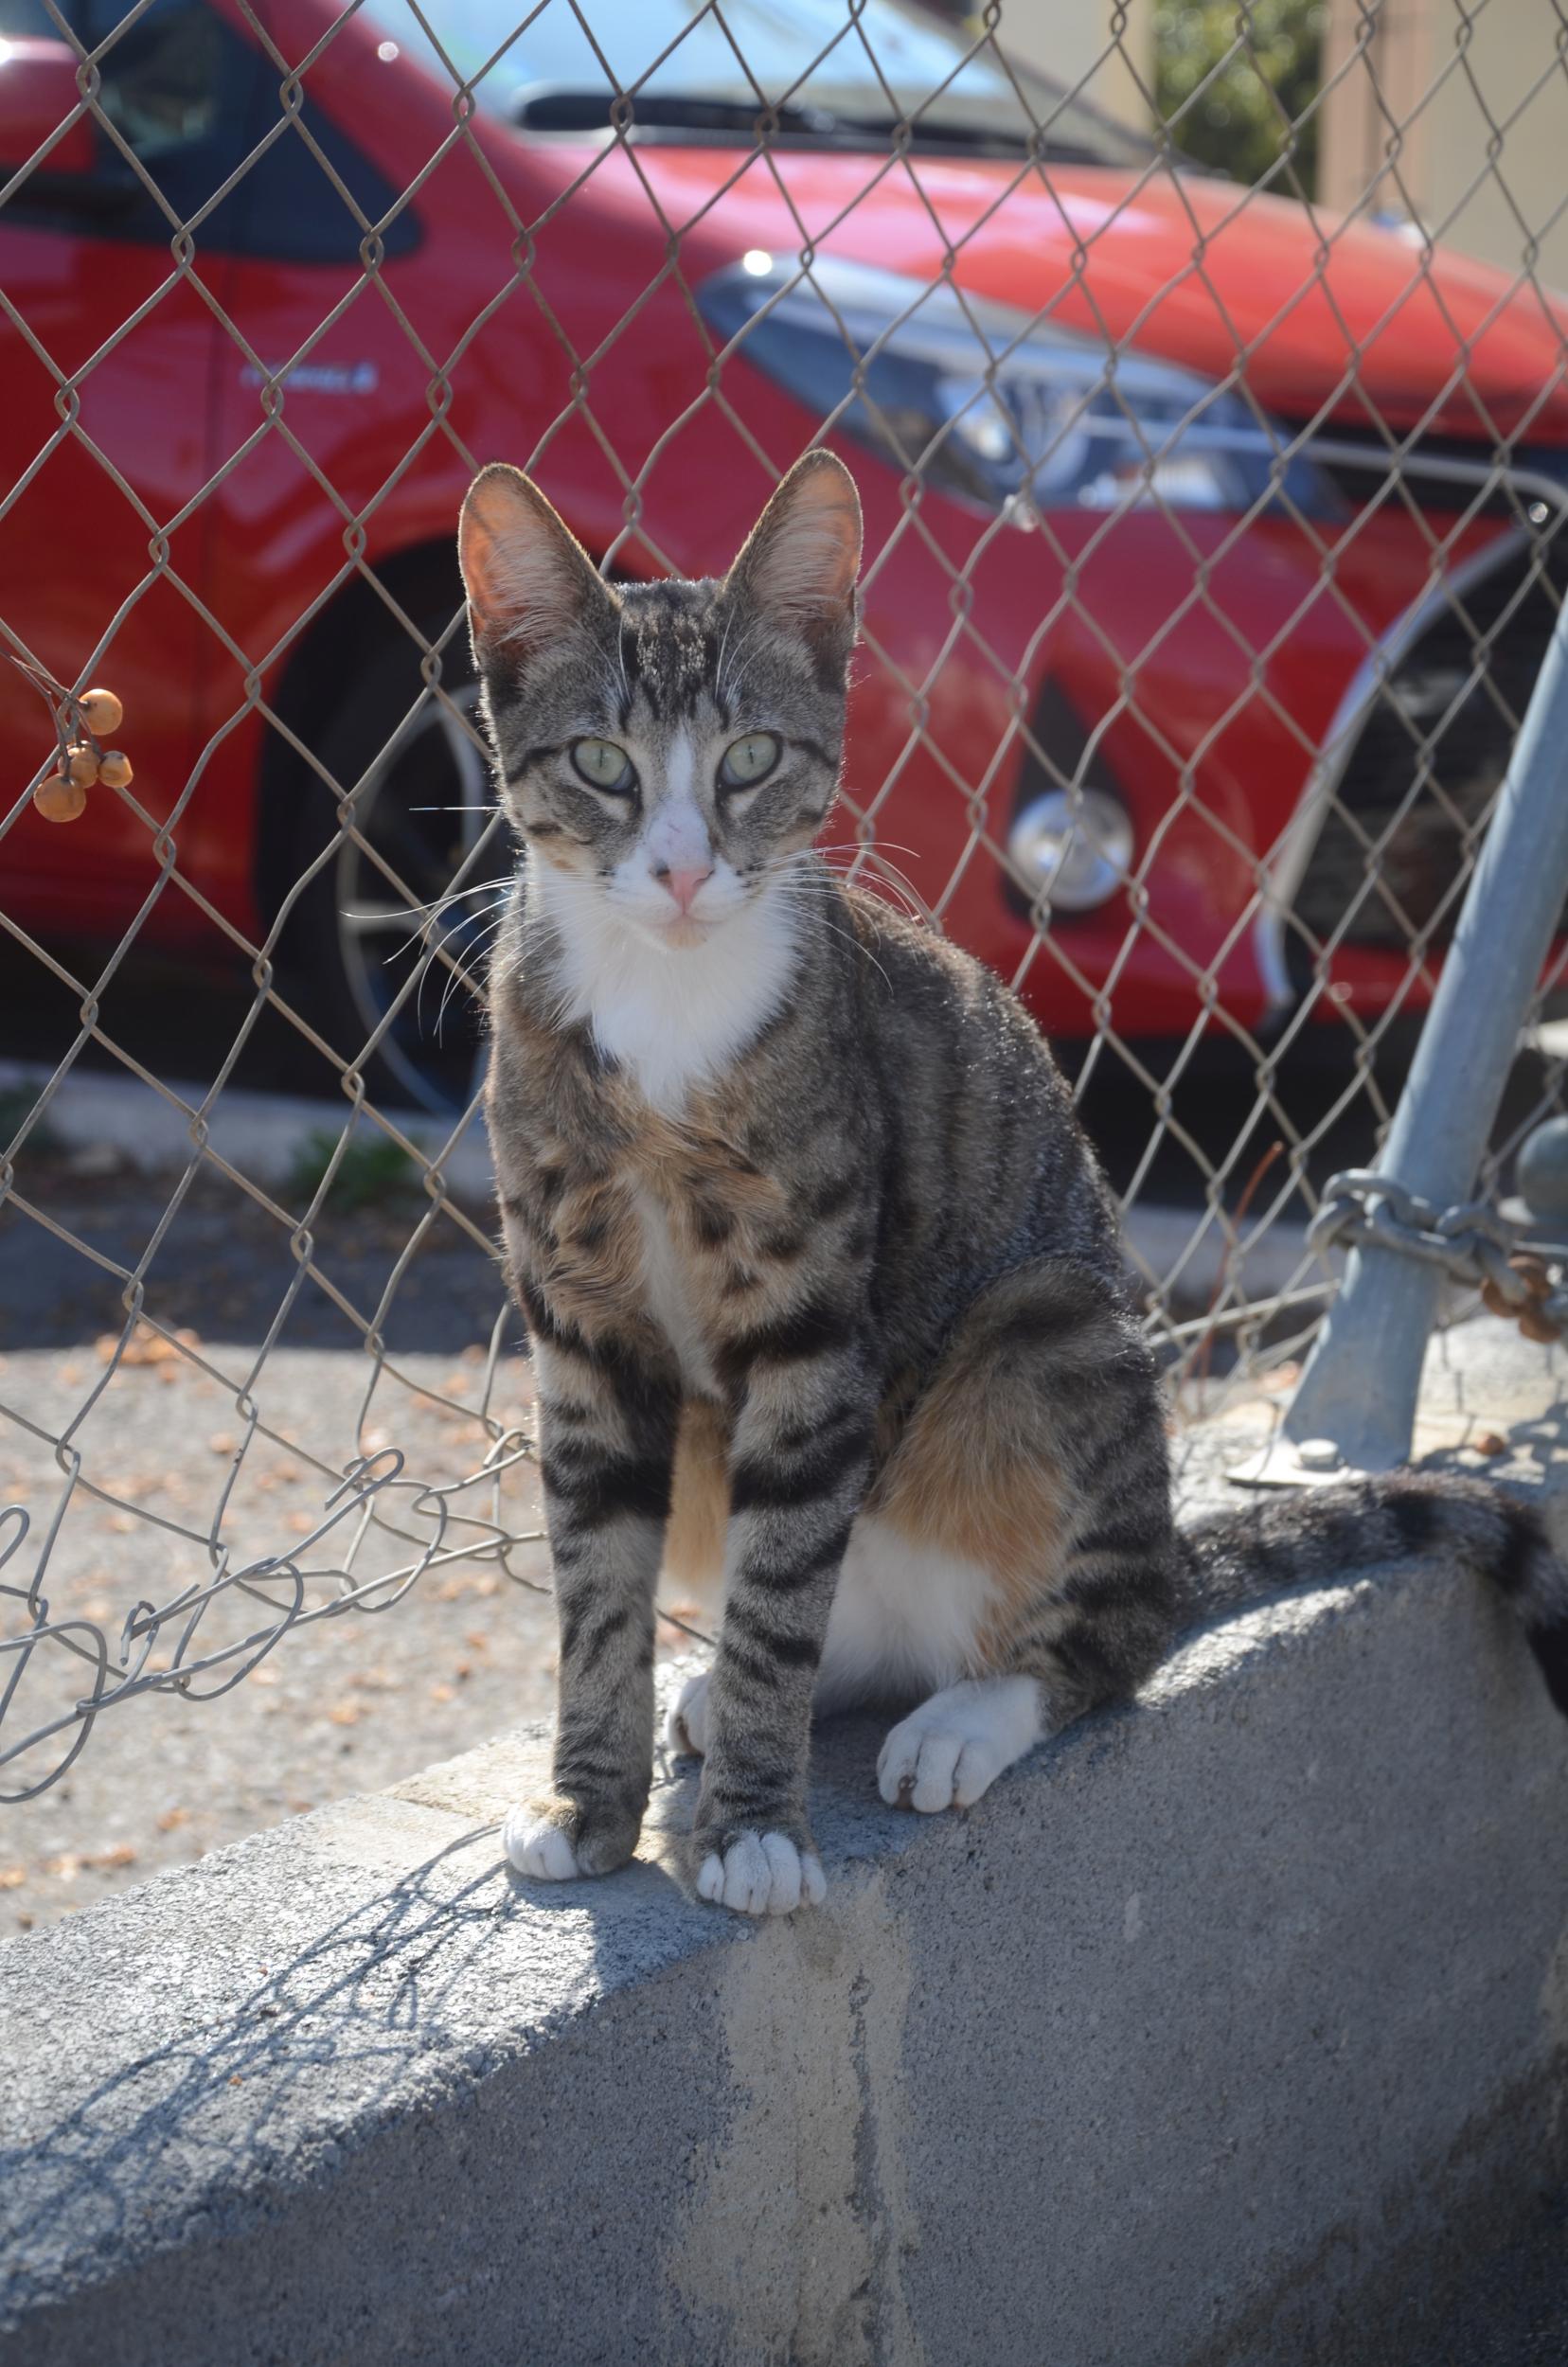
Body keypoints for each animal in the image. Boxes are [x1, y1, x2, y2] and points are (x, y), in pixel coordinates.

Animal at [456, 447, 1568, 1922]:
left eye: (751, 758)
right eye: (600, 762)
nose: (686, 870)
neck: (666, 1013)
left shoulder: (813, 1329)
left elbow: (778, 1596)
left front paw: (751, 1830)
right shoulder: (580, 1326)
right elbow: (595, 1582)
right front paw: (588, 1803)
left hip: (1046, 1330)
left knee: (1104, 1630)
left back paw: (964, 1716)